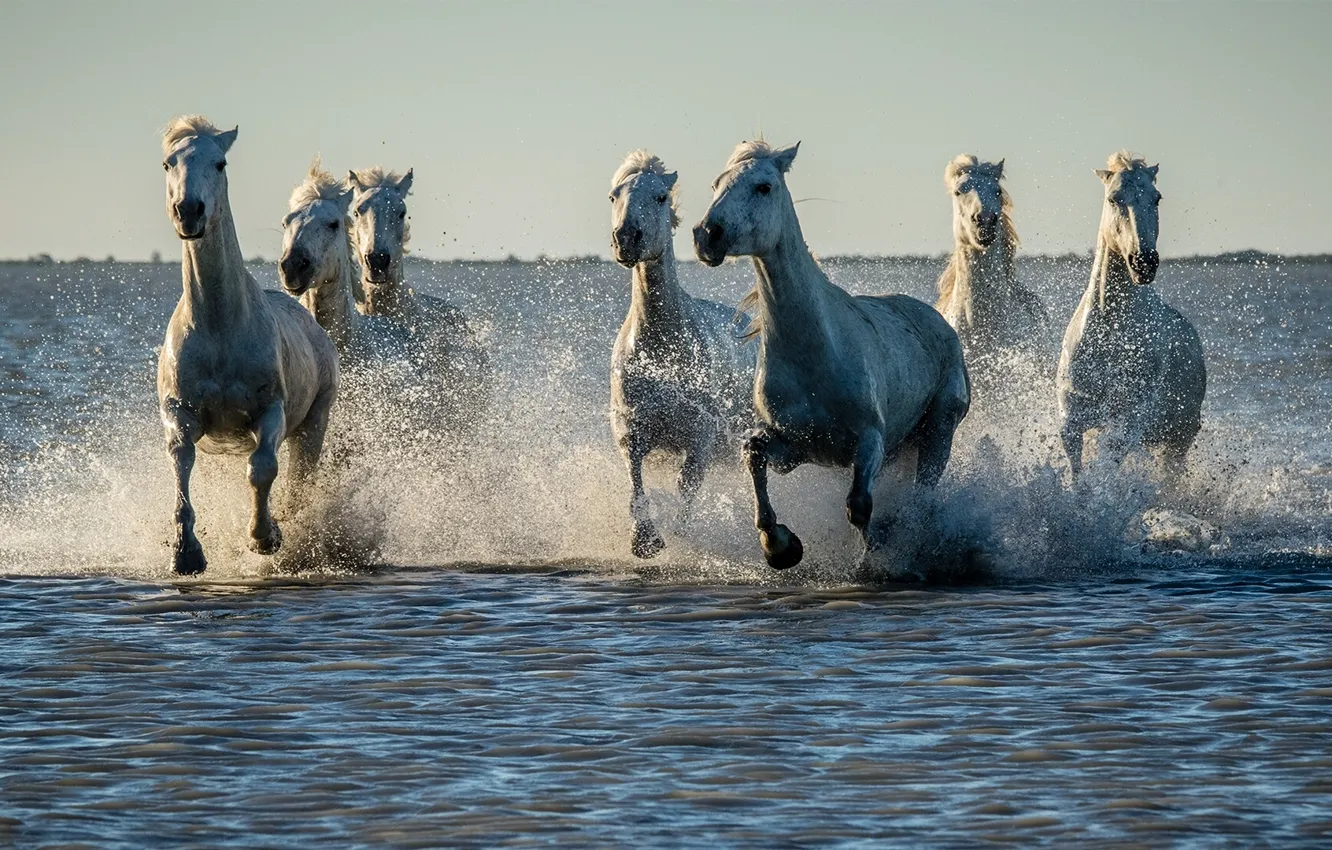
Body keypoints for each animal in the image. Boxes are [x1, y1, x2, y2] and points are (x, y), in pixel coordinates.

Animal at [157, 117, 339, 575]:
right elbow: (181, 465)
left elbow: (262, 469)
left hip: (315, 422)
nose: (189, 211)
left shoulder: (269, 411)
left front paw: (265, 536)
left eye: (220, 163)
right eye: (168, 163)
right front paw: (186, 553)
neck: (221, 328)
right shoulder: (179, 412)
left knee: (299, 480)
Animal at [608, 151, 755, 559]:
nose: (626, 239)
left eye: (660, 197)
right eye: (614, 195)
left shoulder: (700, 436)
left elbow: (687, 485)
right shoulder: (631, 431)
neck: (662, 352)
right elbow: (635, 484)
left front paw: (682, 535)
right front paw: (645, 540)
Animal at [693, 141, 971, 570]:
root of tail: (940, 322)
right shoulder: (794, 447)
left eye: (764, 186)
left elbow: (859, 506)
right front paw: (781, 546)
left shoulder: (870, 440)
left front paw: (873, 557)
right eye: (716, 185)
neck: (815, 356)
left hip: (939, 429)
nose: (708, 235)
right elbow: (753, 455)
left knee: (922, 495)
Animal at [1056, 151, 1205, 481]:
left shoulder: (1129, 420)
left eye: (1156, 198)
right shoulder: (1073, 418)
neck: (1110, 334)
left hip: (1178, 438)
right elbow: (1077, 472)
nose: (1144, 262)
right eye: (1114, 198)